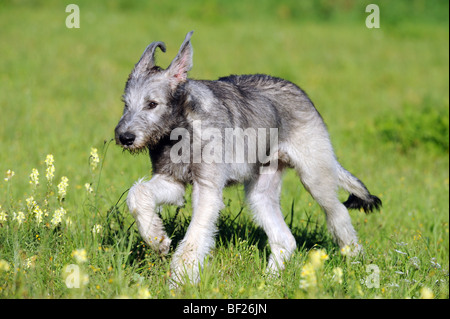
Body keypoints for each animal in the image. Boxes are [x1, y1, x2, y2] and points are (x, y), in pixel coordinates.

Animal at [113, 31, 380, 288]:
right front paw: (157, 239)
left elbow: (194, 239)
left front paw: (180, 282)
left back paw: (357, 264)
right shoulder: (172, 181)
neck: (180, 129)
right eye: (125, 103)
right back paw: (268, 282)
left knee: (338, 215)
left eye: (152, 104)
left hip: (316, 175)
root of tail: (301, 94)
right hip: (260, 193)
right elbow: (137, 194)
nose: (125, 137)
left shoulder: (207, 189)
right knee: (285, 239)